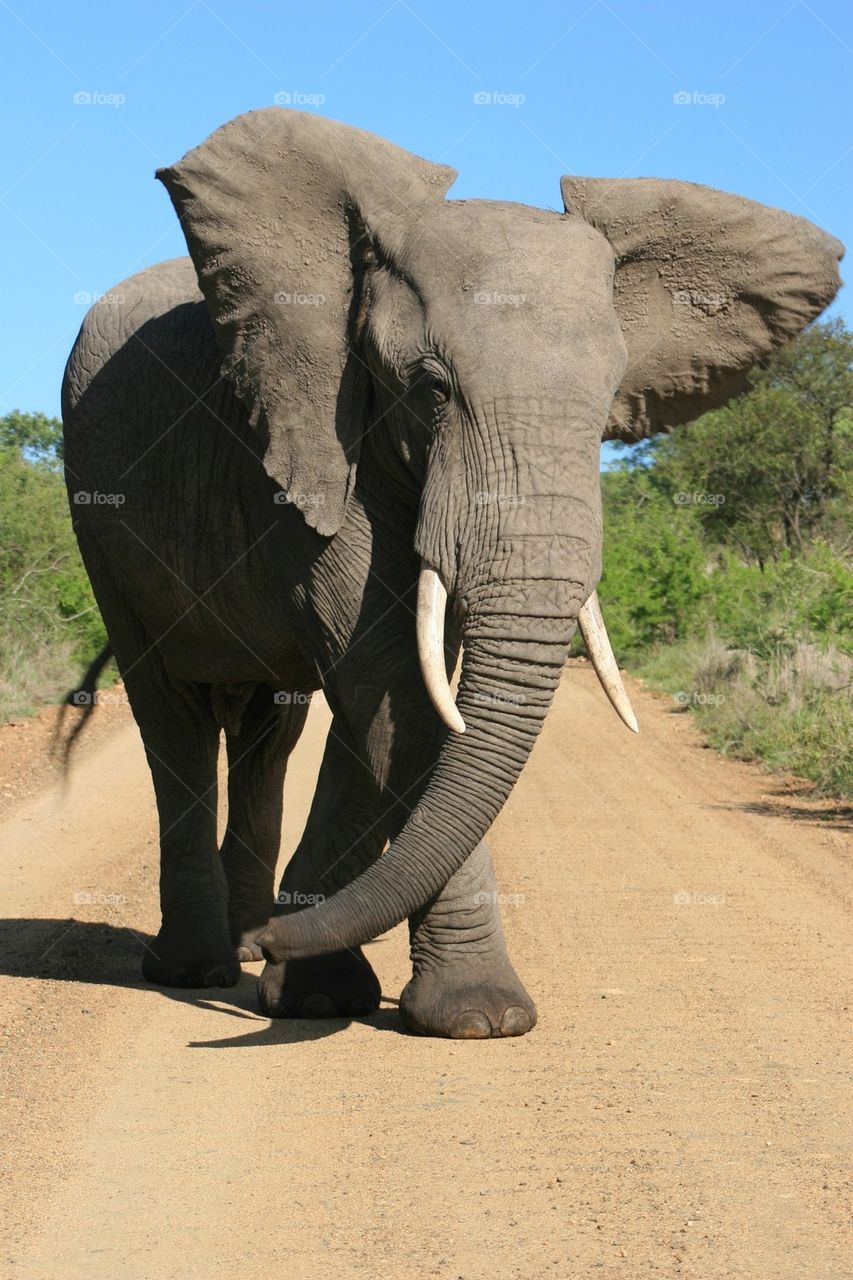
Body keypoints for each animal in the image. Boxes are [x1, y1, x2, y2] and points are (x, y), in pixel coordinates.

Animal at [62, 108, 842, 1038]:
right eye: (431, 389)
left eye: (611, 400)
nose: (279, 941)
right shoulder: (305, 450)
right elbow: (395, 688)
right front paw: (477, 1017)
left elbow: (403, 702)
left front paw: (310, 987)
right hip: (96, 513)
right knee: (168, 711)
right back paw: (196, 965)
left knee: (272, 728)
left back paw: (248, 945)